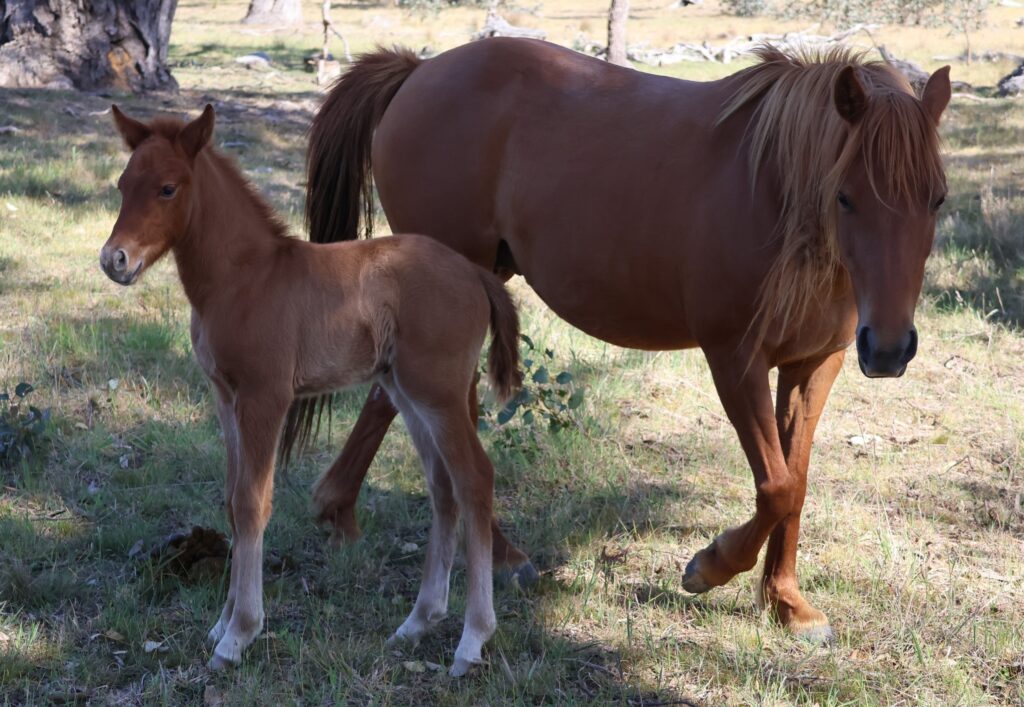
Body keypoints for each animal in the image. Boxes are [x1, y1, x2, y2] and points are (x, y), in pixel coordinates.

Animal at [99, 104, 524, 672]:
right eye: (123, 184)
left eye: (168, 188)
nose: (114, 260)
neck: (245, 278)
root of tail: (477, 274)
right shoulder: (225, 398)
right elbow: (231, 500)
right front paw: (220, 625)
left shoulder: (265, 396)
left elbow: (252, 502)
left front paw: (239, 635)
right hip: (408, 393)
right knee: (442, 486)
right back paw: (417, 622)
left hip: (440, 392)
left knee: (474, 479)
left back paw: (472, 639)